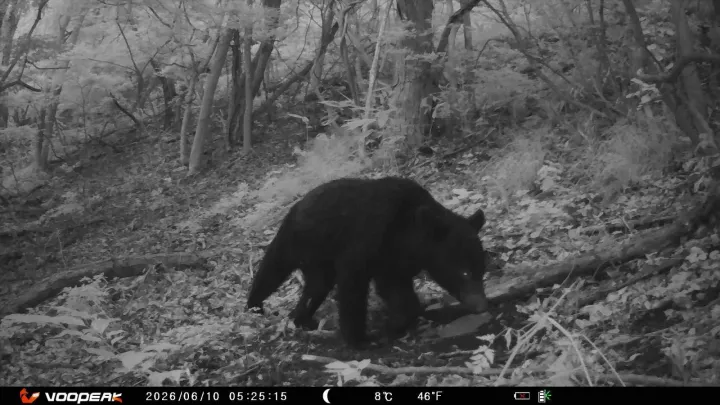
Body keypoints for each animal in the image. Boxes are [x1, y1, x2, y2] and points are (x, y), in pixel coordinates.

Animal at [245, 177, 489, 348]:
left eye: (482, 271)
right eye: (464, 272)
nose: (481, 305)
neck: (408, 231)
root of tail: (293, 208)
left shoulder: (394, 260)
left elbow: (397, 290)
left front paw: (397, 324)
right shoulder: (368, 238)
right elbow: (353, 286)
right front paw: (361, 339)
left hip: (316, 260)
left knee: (316, 286)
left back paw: (302, 320)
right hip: (299, 242)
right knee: (272, 270)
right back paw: (255, 307)